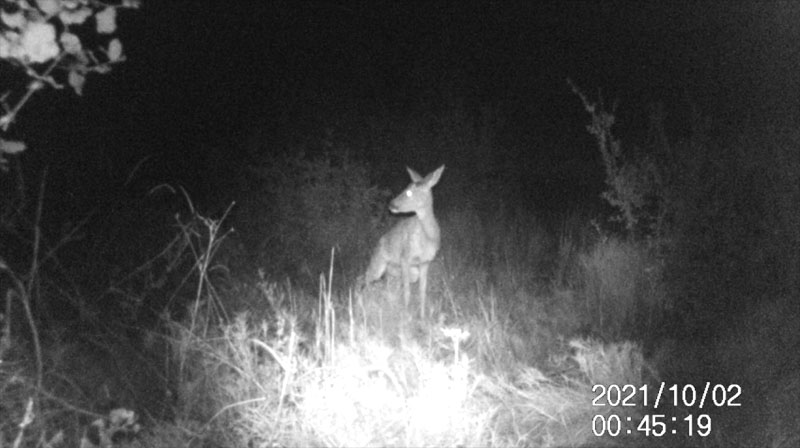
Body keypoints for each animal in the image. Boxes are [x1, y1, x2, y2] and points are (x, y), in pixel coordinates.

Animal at [368, 166, 446, 316]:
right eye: (405, 188)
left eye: (409, 192)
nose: (391, 204)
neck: (428, 237)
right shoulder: (405, 256)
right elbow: (407, 292)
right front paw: (406, 315)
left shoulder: (425, 262)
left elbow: (422, 292)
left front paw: (422, 317)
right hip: (379, 262)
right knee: (366, 277)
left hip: (401, 271)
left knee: (391, 283)